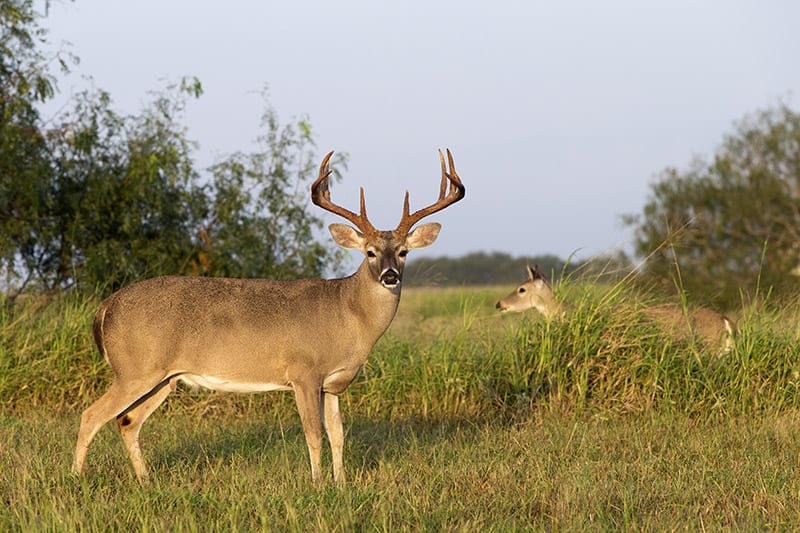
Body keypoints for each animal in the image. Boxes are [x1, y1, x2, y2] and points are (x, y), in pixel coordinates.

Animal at [73, 147, 468, 482]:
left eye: (403, 252)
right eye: (370, 252)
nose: (390, 276)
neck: (347, 314)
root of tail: (106, 307)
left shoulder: (334, 383)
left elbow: (339, 434)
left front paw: (342, 484)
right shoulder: (303, 371)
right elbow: (314, 434)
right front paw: (318, 484)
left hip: (163, 378)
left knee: (127, 421)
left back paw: (146, 481)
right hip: (135, 370)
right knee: (91, 415)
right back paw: (77, 479)